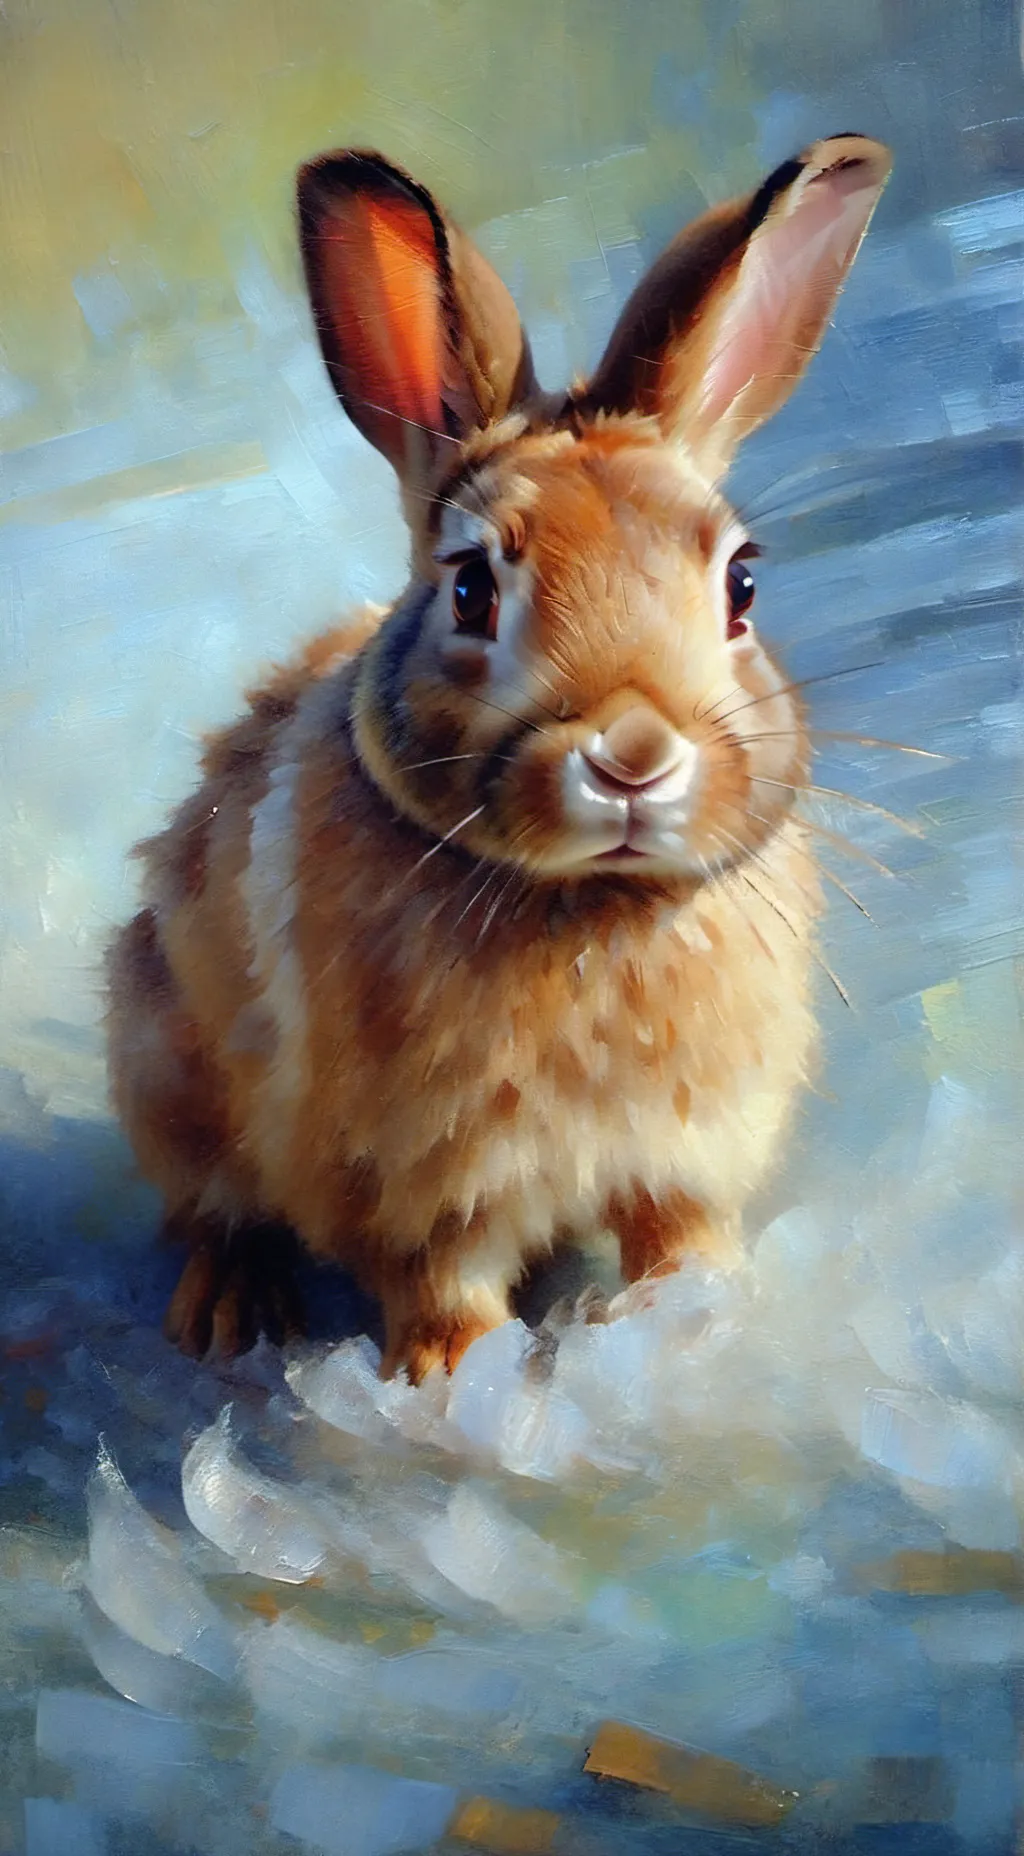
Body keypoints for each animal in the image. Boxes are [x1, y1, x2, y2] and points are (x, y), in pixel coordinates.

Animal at [106, 133, 891, 1383]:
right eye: (472, 587)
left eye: (741, 583)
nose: (632, 755)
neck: (590, 910)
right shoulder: (420, 1192)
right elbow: (444, 1293)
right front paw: (448, 1382)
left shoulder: (679, 1156)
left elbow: (681, 1242)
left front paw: (698, 1325)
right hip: (162, 1064)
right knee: (212, 1208)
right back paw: (232, 1312)